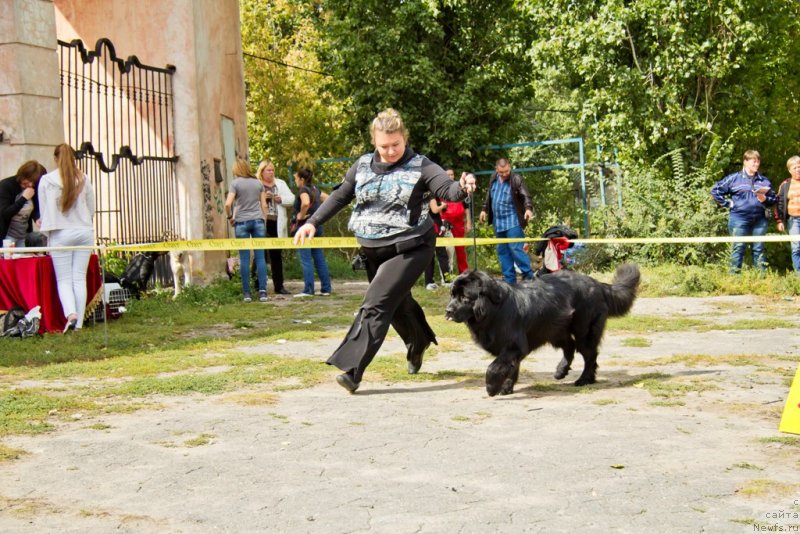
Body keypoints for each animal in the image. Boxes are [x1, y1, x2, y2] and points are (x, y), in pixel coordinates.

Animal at [444, 266, 636, 398]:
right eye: (452, 295)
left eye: (465, 297)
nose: (448, 311)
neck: (494, 310)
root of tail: (598, 284)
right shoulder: (514, 348)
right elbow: (511, 368)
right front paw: (506, 387)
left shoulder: (514, 345)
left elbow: (494, 367)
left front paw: (492, 387)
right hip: (555, 330)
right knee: (570, 347)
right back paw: (561, 371)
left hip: (584, 330)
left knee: (589, 355)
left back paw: (584, 379)